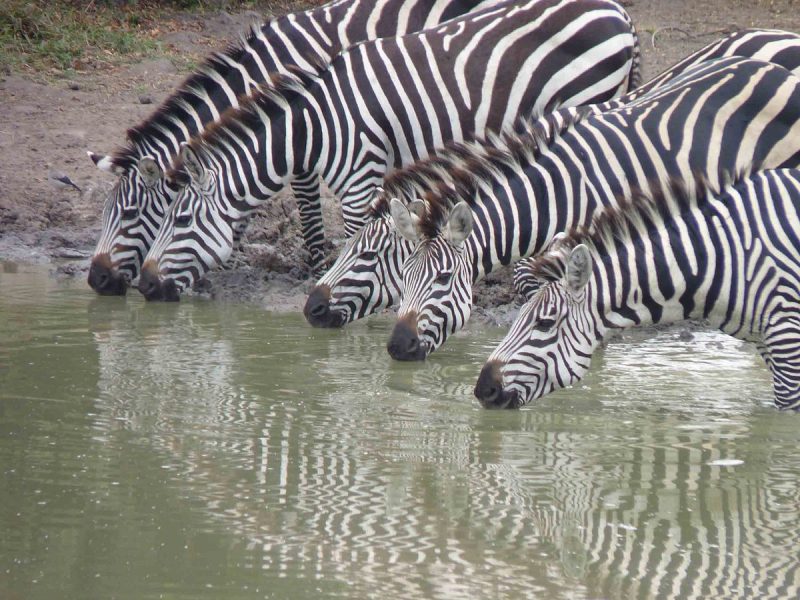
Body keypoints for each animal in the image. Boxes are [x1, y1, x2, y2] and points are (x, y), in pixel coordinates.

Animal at [83, 0, 506, 296]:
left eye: (130, 214)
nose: (96, 280)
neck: (263, 73)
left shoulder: (303, 141)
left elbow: (305, 208)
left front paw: (316, 266)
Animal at [134, 0, 640, 300]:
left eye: (178, 220)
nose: (142, 285)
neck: (314, 126)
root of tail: (619, 13)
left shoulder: (359, 180)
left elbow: (352, 234)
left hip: (586, 97)